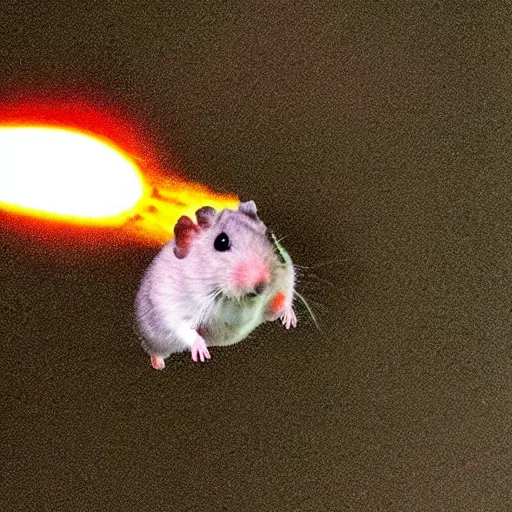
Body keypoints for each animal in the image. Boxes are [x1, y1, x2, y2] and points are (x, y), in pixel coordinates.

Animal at [134, 198, 298, 370]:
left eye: (269, 236)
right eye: (221, 242)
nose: (263, 284)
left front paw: (288, 317)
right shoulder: (171, 310)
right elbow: (185, 330)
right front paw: (203, 355)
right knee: (156, 351)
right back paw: (159, 365)